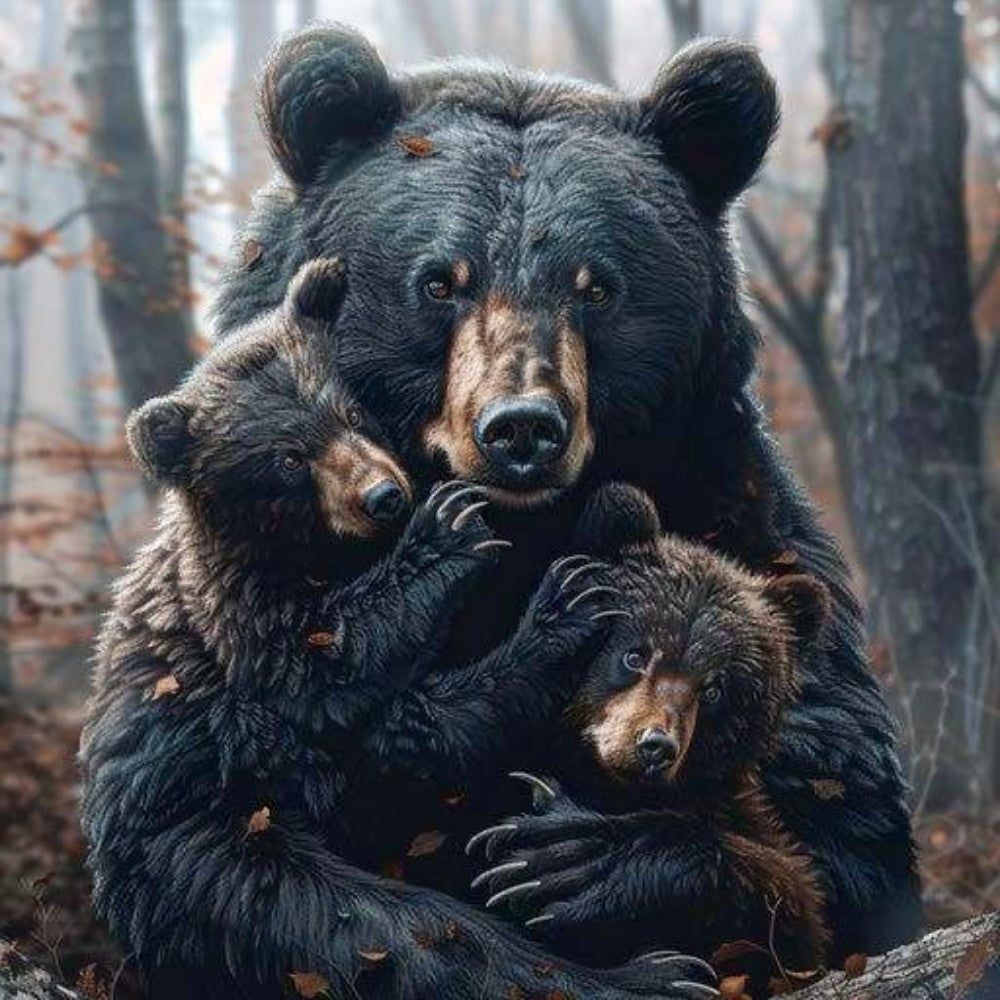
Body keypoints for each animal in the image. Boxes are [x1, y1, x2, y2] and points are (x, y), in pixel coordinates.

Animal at [81, 259, 714, 999]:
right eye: (288, 458)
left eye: (352, 413)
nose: (385, 495)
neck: (319, 554)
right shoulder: (241, 629)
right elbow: (337, 674)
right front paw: (487, 553)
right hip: (212, 849)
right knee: (401, 933)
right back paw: (645, 974)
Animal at [468, 483, 833, 979]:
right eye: (635, 654)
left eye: (714, 688)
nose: (655, 746)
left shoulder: (733, 816)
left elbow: (790, 919)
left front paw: (568, 863)